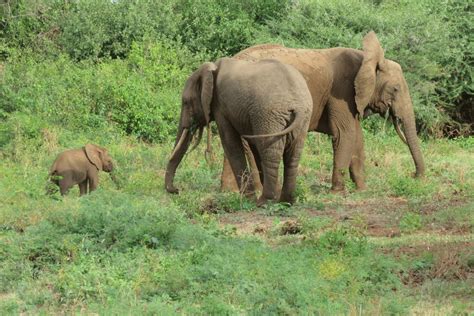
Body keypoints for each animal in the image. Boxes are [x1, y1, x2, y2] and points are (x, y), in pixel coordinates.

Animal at [165, 57, 312, 205]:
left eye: (186, 102)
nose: (177, 190)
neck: (212, 68)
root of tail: (296, 104)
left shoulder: (221, 107)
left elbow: (230, 143)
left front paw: (248, 199)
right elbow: (253, 148)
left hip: (269, 115)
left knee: (270, 153)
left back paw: (264, 201)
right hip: (299, 118)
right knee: (292, 155)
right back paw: (285, 201)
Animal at [221, 31, 426, 193]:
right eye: (396, 89)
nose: (414, 176)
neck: (366, 58)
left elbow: (357, 137)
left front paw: (362, 190)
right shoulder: (341, 90)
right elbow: (345, 133)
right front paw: (338, 192)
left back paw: (230, 192)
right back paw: (258, 191)